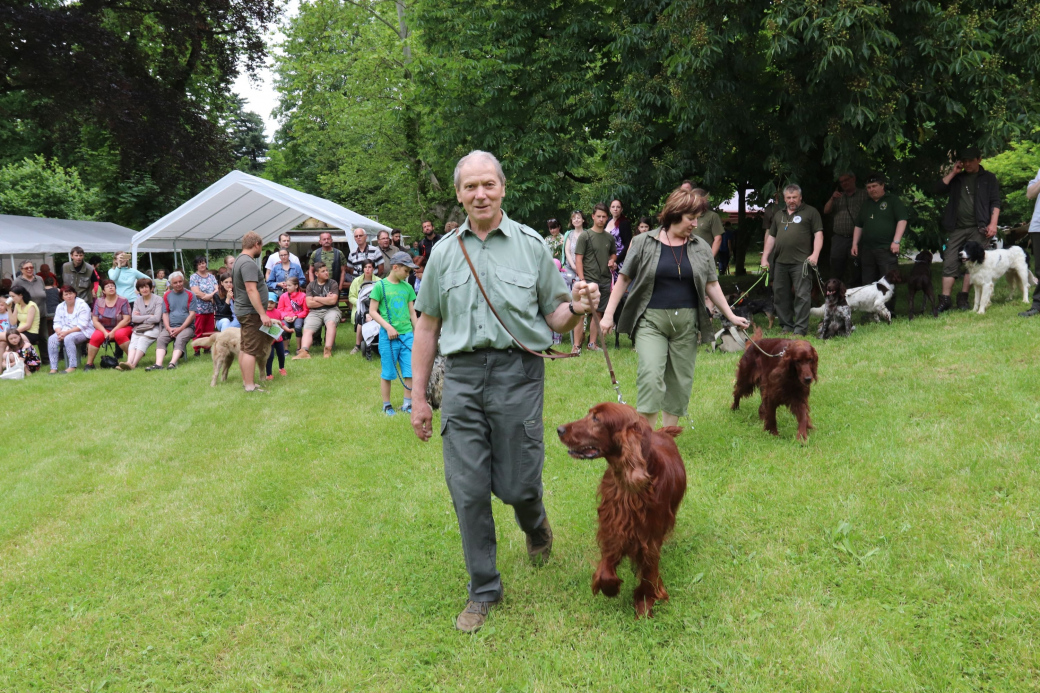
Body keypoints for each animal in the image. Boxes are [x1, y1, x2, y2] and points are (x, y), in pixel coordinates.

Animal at [557, 401, 686, 616]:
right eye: (590, 413)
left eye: (596, 419)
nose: (559, 429)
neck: (627, 485)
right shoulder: (613, 525)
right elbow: (606, 567)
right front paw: (611, 587)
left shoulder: (650, 536)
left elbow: (649, 571)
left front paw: (645, 601)